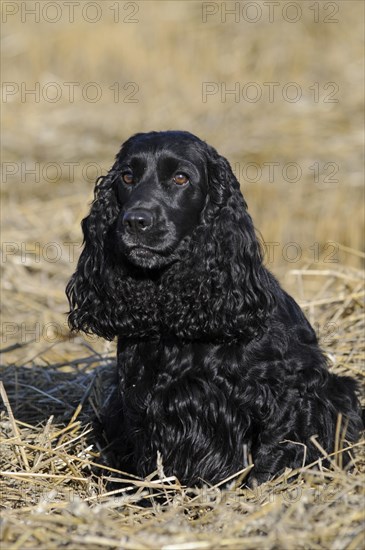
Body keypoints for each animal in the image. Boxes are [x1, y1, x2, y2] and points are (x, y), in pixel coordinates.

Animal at [67, 133, 362, 488]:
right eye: (127, 177)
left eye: (181, 178)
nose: (135, 221)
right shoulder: (139, 402)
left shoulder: (284, 397)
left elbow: (270, 454)